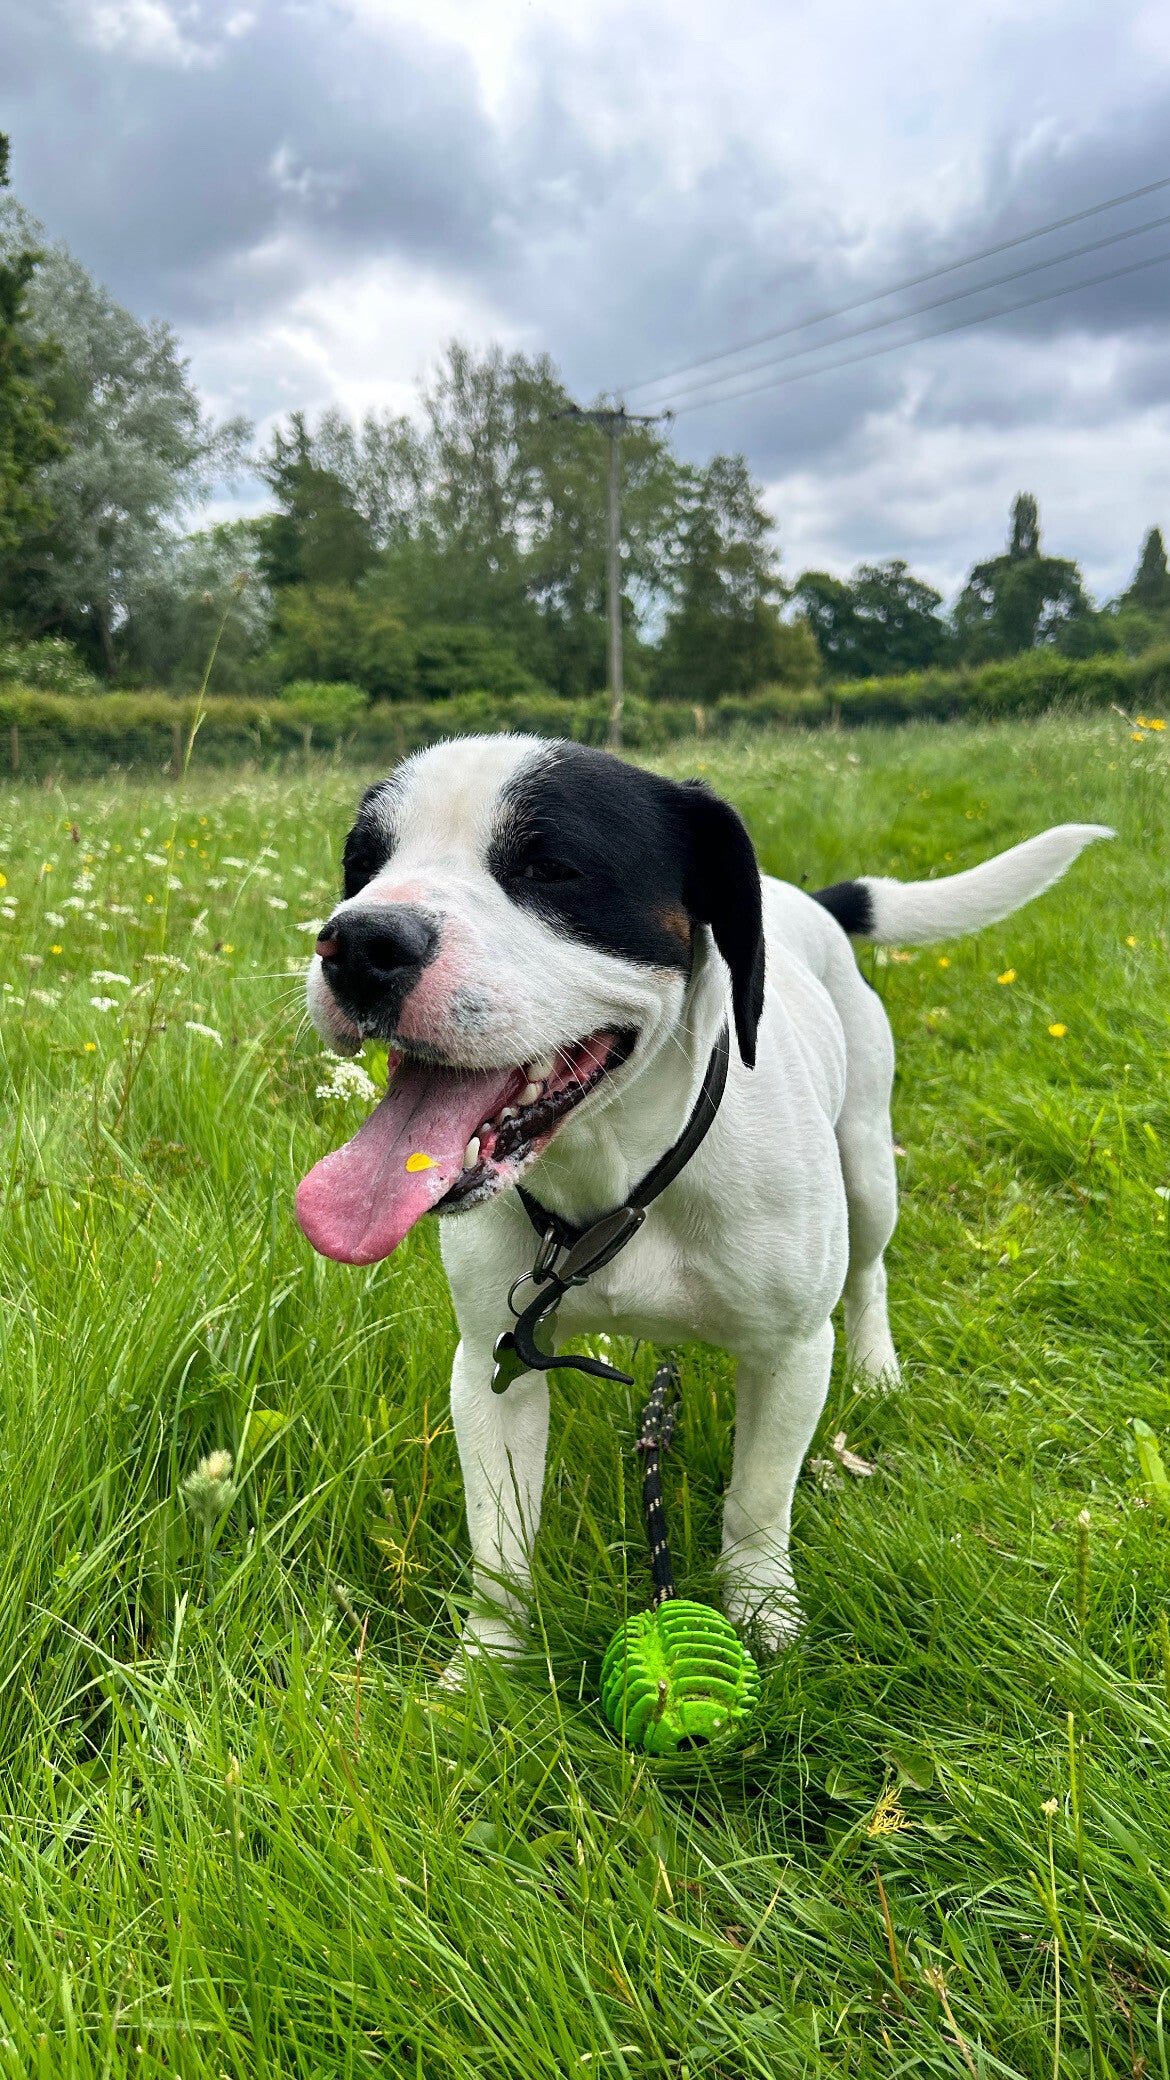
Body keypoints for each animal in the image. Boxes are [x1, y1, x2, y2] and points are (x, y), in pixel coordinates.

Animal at [296, 733, 1109, 1668]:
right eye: (363, 864)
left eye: (552, 866)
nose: (360, 940)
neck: (623, 1186)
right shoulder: (492, 1366)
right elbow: (498, 1543)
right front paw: (487, 1666)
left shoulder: (791, 1355)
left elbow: (758, 1499)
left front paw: (761, 1612)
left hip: (870, 1167)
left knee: (869, 1272)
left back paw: (877, 1369)